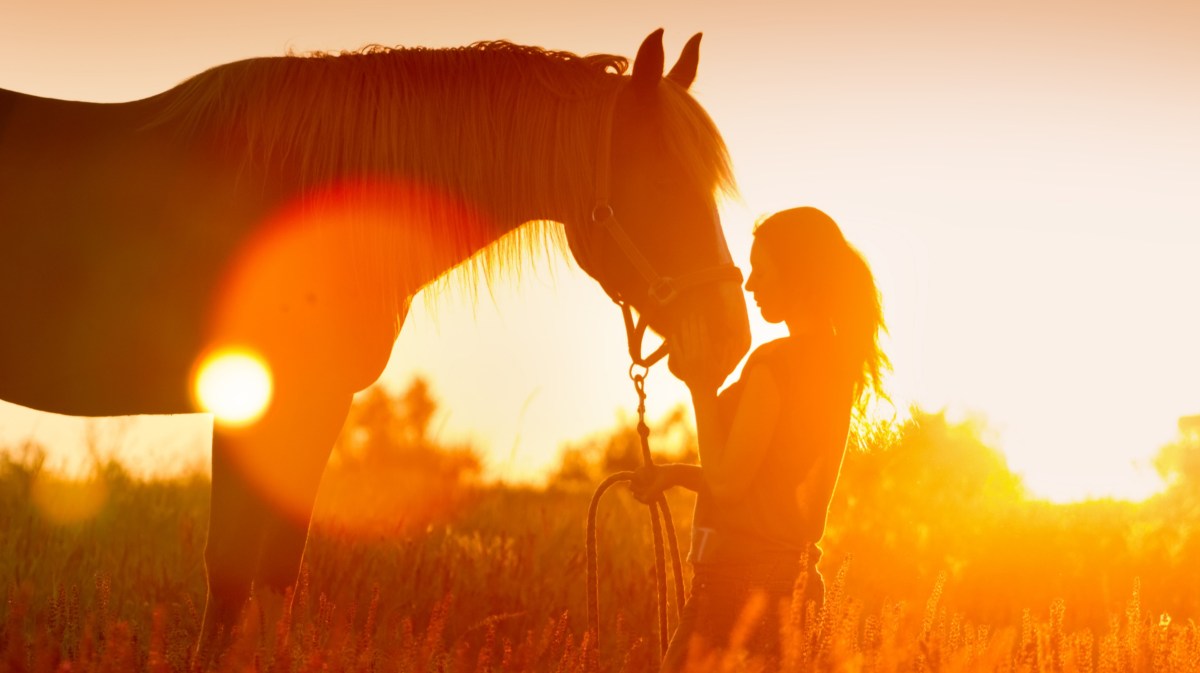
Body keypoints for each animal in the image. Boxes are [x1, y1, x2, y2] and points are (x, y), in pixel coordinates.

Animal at [0, 30, 748, 652]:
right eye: (661, 181)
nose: (729, 337)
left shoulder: (312, 404)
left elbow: (276, 573)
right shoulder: (262, 401)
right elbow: (233, 572)